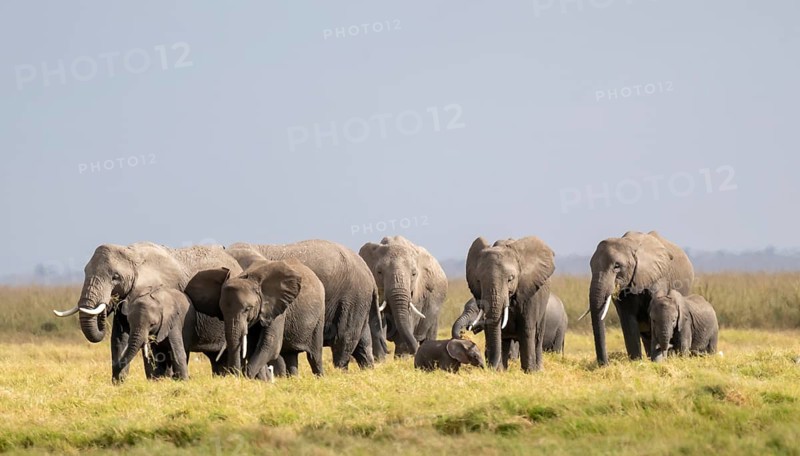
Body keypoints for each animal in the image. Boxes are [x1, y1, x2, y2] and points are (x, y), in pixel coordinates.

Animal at [53, 243, 242, 382]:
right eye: (85, 272)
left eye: (115, 277)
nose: (109, 302)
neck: (131, 254)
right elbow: (119, 338)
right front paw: (119, 384)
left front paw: (158, 381)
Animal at [185, 258, 325, 378]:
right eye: (222, 312)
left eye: (248, 309)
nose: (234, 376)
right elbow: (253, 347)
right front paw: (262, 380)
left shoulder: (277, 307)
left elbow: (270, 344)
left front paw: (249, 378)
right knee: (290, 355)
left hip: (320, 314)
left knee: (314, 356)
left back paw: (320, 378)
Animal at [224, 240, 380, 370]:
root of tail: (369, 273)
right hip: (358, 301)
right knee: (362, 343)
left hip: (353, 297)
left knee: (343, 340)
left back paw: (340, 374)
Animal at [466, 236, 556, 373]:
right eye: (478, 280)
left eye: (510, 279)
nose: (488, 367)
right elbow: (492, 329)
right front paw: (499, 372)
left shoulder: (529, 292)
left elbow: (527, 329)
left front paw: (529, 372)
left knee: (538, 336)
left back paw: (539, 370)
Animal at [583, 231, 694, 366]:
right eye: (591, 266)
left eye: (617, 266)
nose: (604, 365)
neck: (630, 244)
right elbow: (628, 320)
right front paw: (636, 363)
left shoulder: (658, 278)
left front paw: (658, 362)